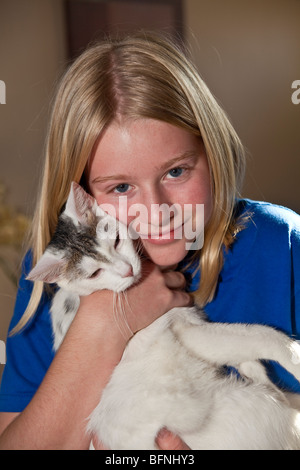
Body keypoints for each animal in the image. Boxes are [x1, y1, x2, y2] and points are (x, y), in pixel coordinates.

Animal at [27, 182, 300, 450]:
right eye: (94, 274)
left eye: (116, 241)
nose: (127, 270)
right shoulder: (186, 330)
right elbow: (260, 335)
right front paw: (293, 357)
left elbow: (247, 355)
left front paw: (265, 378)